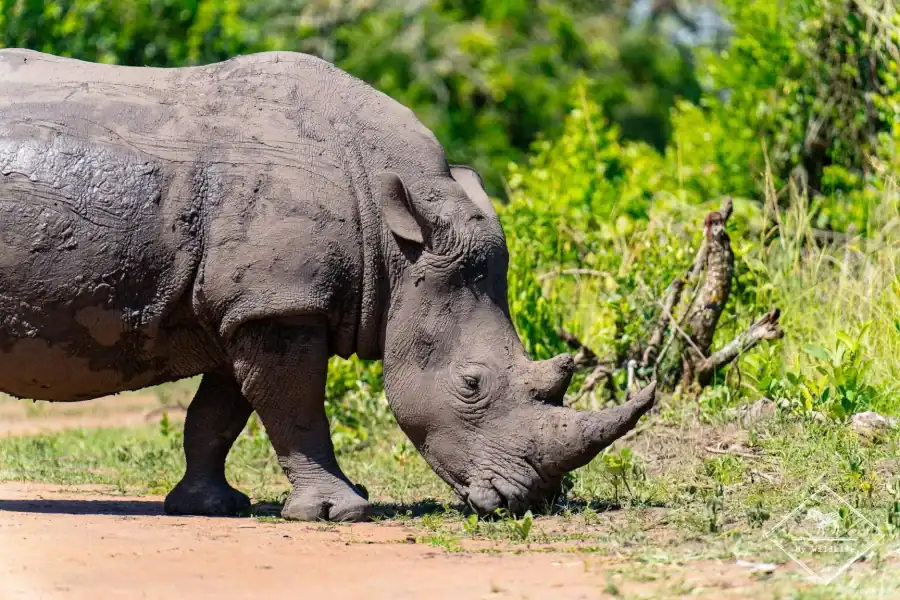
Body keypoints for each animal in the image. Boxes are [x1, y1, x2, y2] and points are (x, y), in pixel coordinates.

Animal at [0, 49, 656, 521]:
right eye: (471, 385)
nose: (532, 501)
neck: (396, 241)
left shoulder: (253, 301)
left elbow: (219, 414)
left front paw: (210, 507)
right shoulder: (280, 302)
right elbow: (295, 408)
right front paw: (340, 512)